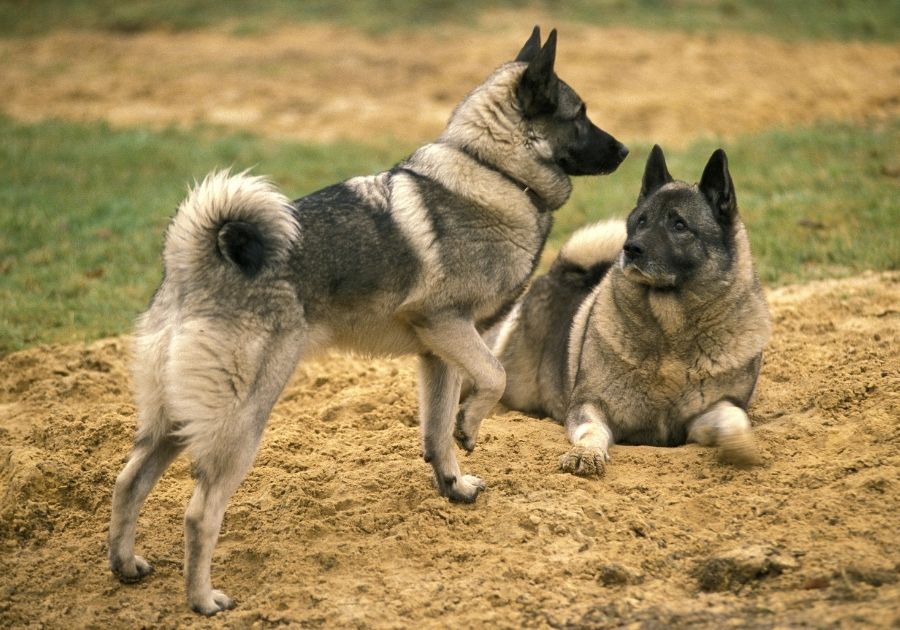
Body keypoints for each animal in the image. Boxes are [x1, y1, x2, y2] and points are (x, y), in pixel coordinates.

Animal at [107, 27, 624, 616]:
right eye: (579, 114)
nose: (625, 150)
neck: (493, 170)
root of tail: (192, 263)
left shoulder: (437, 353)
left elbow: (436, 431)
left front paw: (453, 485)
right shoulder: (449, 326)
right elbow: (491, 379)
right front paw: (471, 427)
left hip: (173, 418)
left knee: (128, 483)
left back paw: (125, 565)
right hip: (241, 419)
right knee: (199, 514)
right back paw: (203, 599)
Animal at [488, 146, 768, 476]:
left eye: (679, 225)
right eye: (641, 222)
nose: (630, 248)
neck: (671, 332)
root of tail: (560, 271)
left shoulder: (706, 414)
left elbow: (734, 418)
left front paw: (742, 447)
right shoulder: (590, 406)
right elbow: (592, 431)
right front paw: (586, 454)